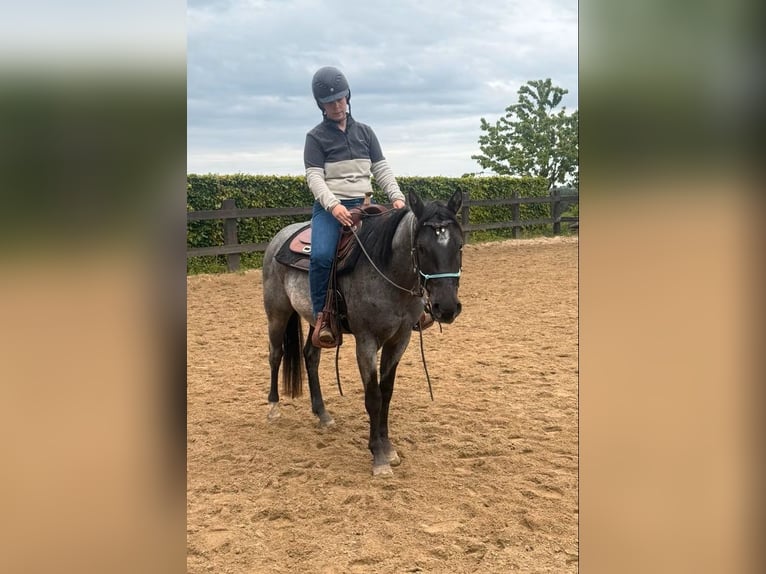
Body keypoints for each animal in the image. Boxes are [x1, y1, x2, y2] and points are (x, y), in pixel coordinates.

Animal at [261, 189, 464, 476]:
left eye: (459, 245)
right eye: (422, 248)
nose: (446, 308)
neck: (389, 273)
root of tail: (279, 237)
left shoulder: (400, 339)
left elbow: (386, 392)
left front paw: (388, 448)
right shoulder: (366, 341)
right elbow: (373, 396)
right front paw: (378, 457)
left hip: (315, 320)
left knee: (310, 356)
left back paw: (322, 414)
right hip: (277, 313)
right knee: (275, 354)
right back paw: (273, 407)